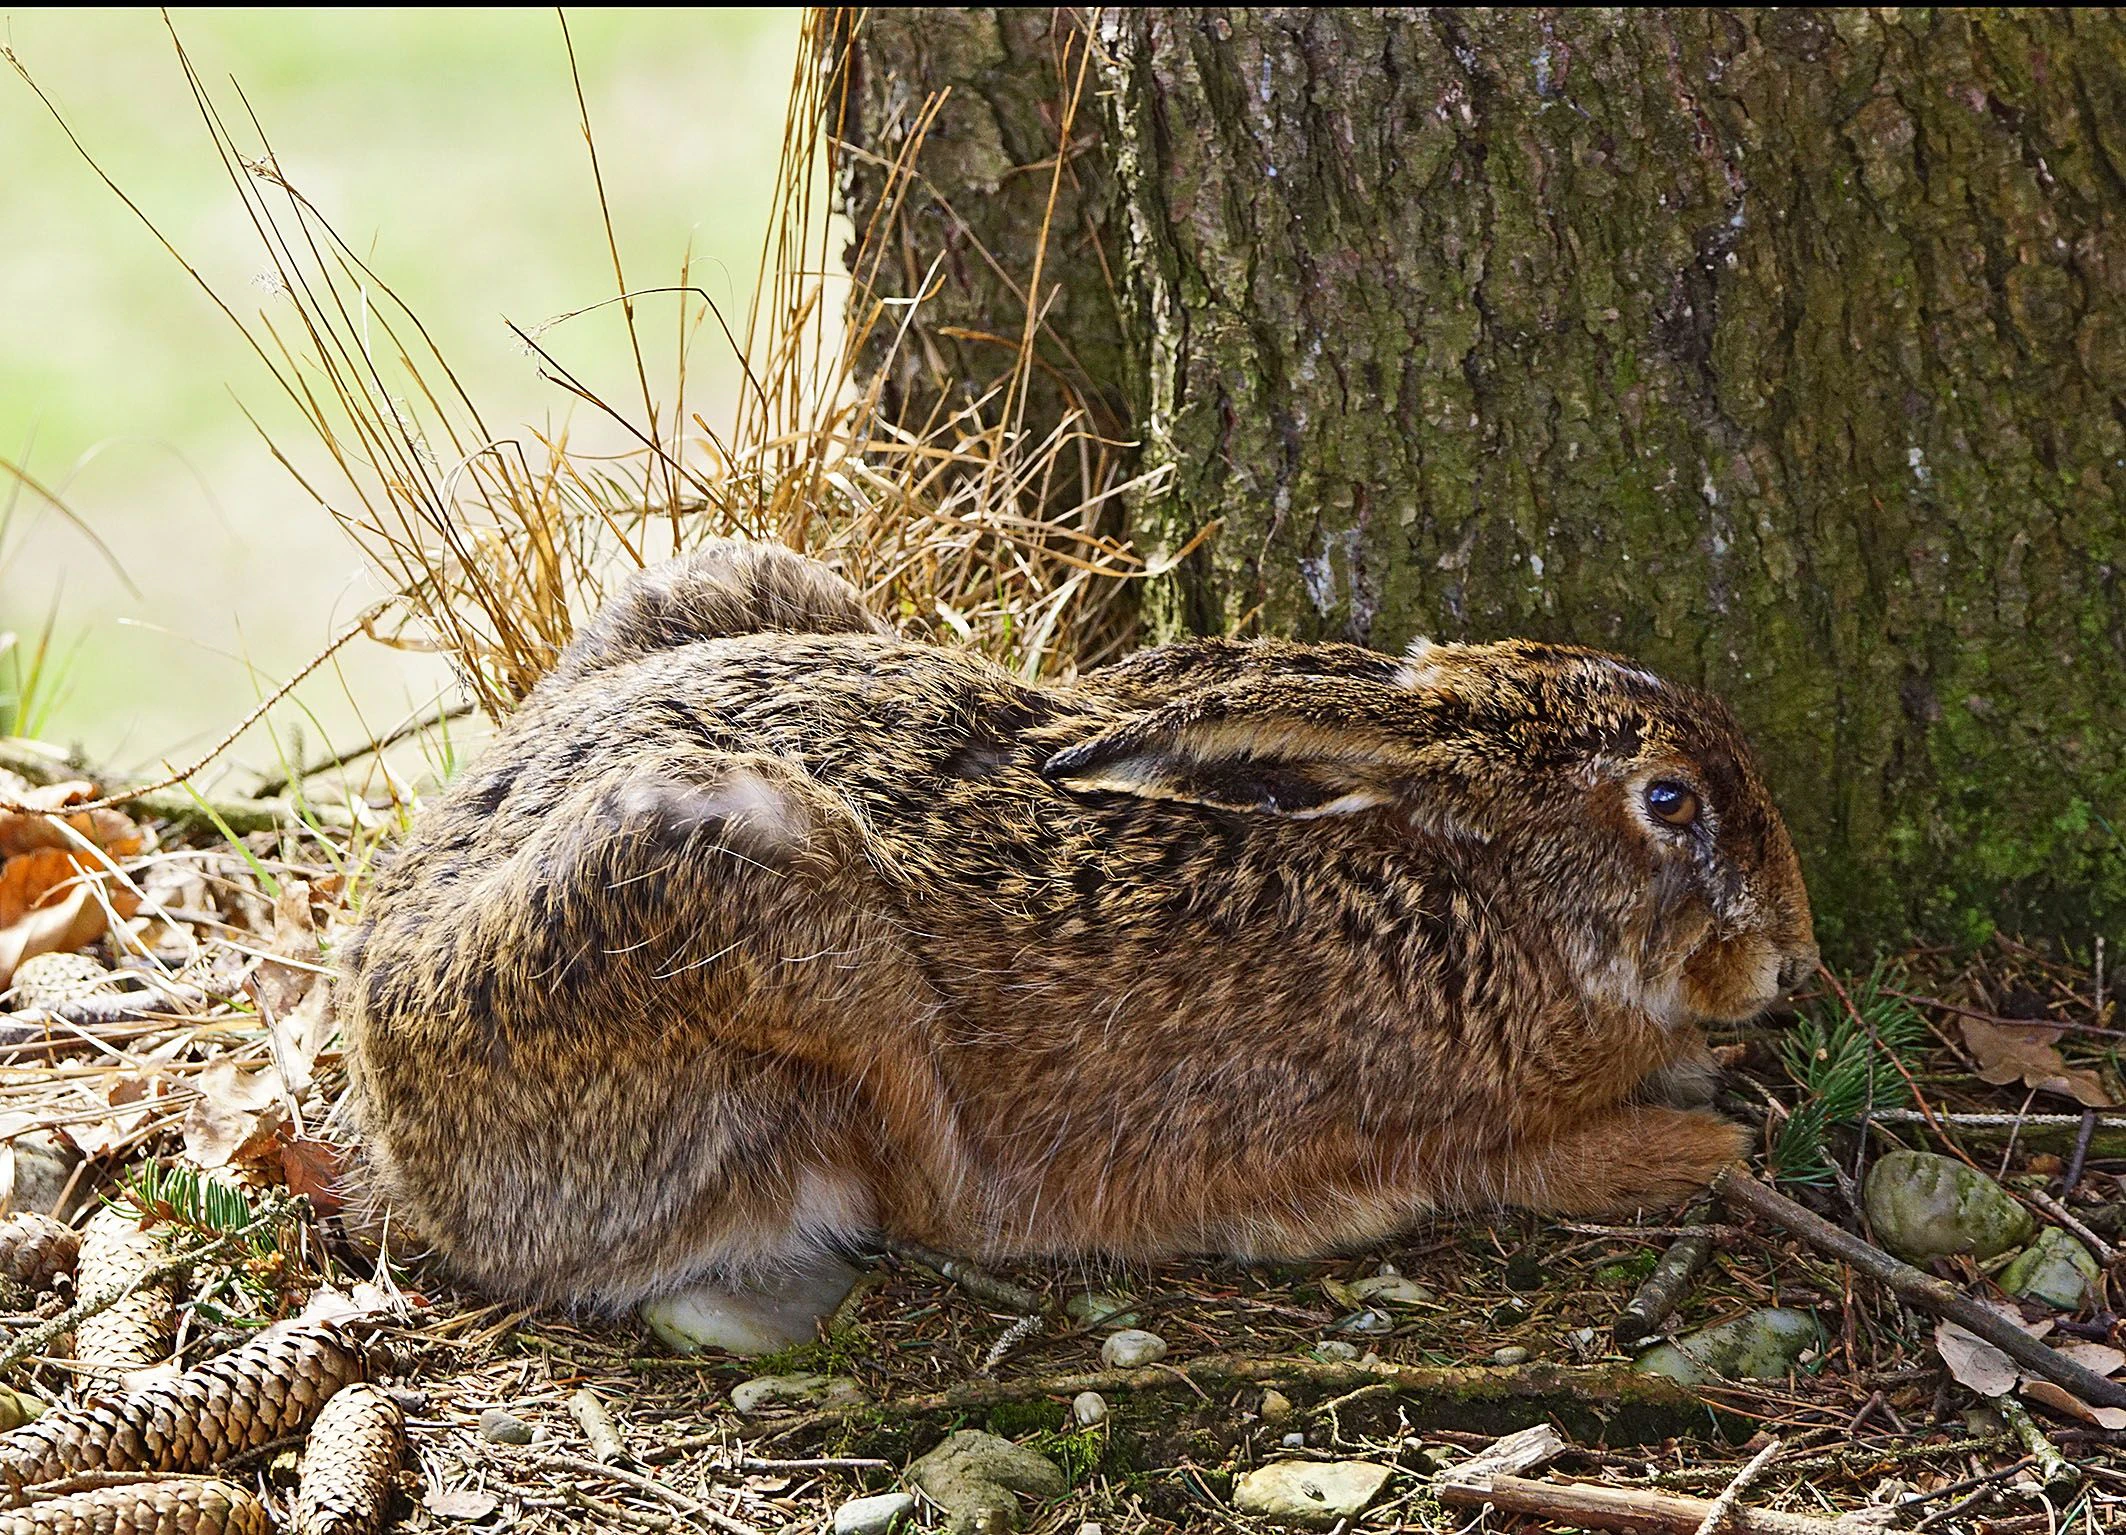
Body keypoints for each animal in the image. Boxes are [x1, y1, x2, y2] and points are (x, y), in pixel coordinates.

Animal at [339, 538, 1816, 1341]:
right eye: (1668, 800)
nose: (1786, 957)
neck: (1471, 882)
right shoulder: (1439, 1120)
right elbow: (1527, 1160)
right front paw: (1698, 1140)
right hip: (743, 881)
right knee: (932, 1177)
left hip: (731, 587)